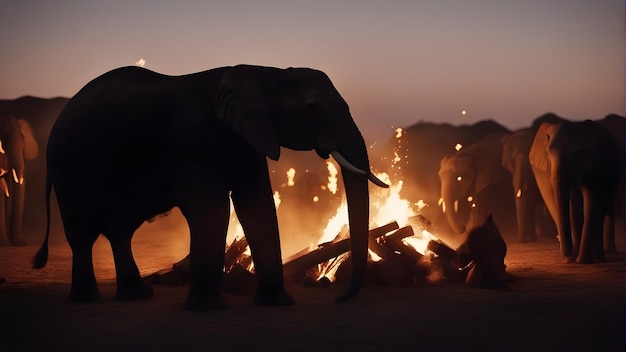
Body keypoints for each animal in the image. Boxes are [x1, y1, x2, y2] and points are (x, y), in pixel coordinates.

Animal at [34, 64, 388, 310]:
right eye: (312, 109)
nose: (336, 298)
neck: (263, 72)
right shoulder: (196, 143)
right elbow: (213, 207)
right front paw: (209, 309)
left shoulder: (246, 140)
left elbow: (257, 202)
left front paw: (277, 304)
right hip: (69, 170)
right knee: (82, 233)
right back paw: (87, 299)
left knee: (120, 231)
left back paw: (137, 296)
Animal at [528, 120, 620, 262]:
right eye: (548, 154)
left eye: (578, 153)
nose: (557, 239)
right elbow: (573, 208)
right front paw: (571, 261)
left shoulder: (596, 167)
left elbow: (590, 204)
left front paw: (582, 261)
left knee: (599, 213)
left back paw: (597, 259)